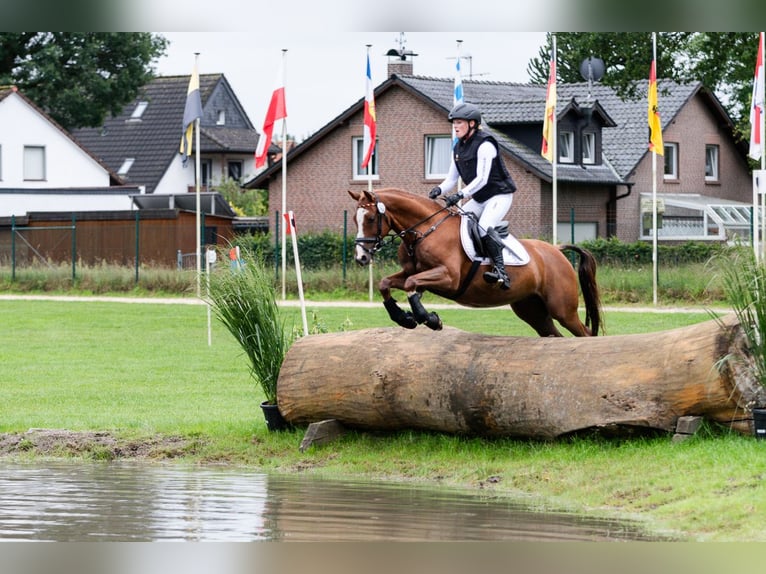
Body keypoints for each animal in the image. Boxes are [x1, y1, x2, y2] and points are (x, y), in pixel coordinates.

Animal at [350, 187, 608, 340]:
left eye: (370, 218)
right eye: (354, 219)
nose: (361, 257)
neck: (426, 230)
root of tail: (556, 250)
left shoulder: (449, 278)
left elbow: (412, 284)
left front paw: (430, 319)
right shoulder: (411, 272)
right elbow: (387, 283)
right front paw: (404, 318)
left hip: (562, 309)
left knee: (584, 333)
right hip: (532, 309)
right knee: (553, 335)